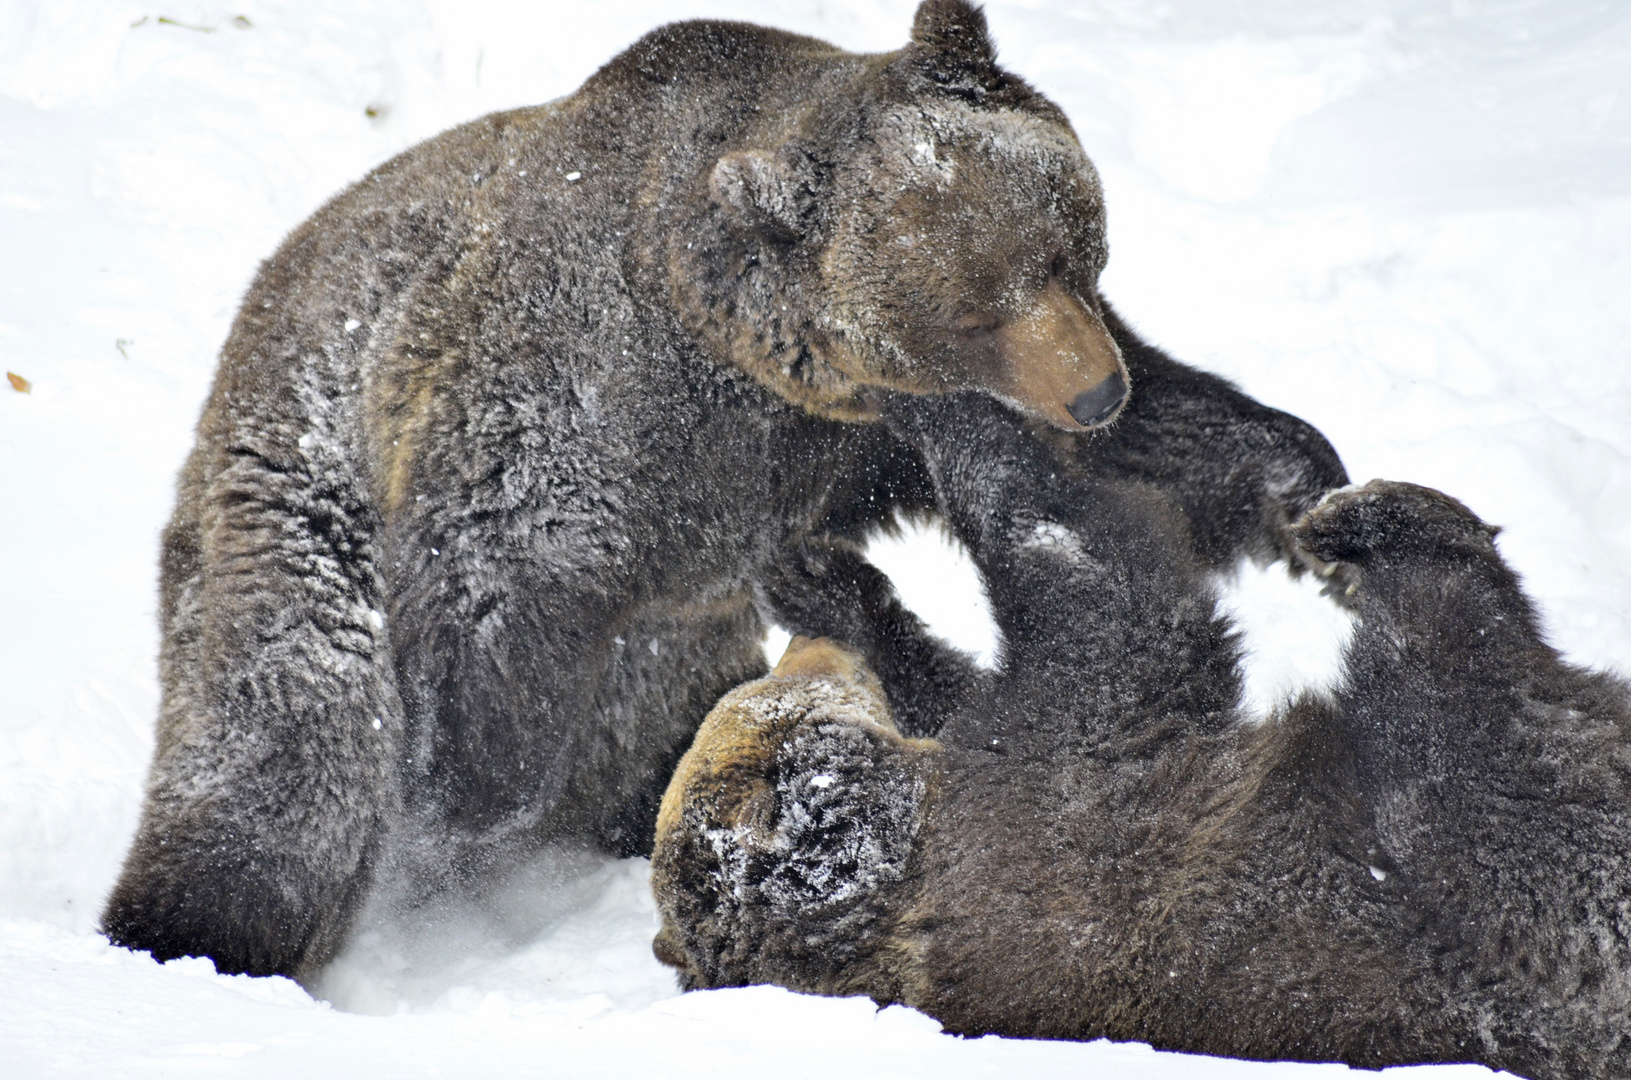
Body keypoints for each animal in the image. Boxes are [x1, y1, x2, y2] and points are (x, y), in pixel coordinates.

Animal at [649, 396, 1631, 1080]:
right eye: (774, 697)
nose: (799, 648)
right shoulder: (1054, 813)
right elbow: (1107, 603)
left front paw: (829, 582)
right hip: (1472, 857)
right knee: (1452, 654)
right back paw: (1370, 520)